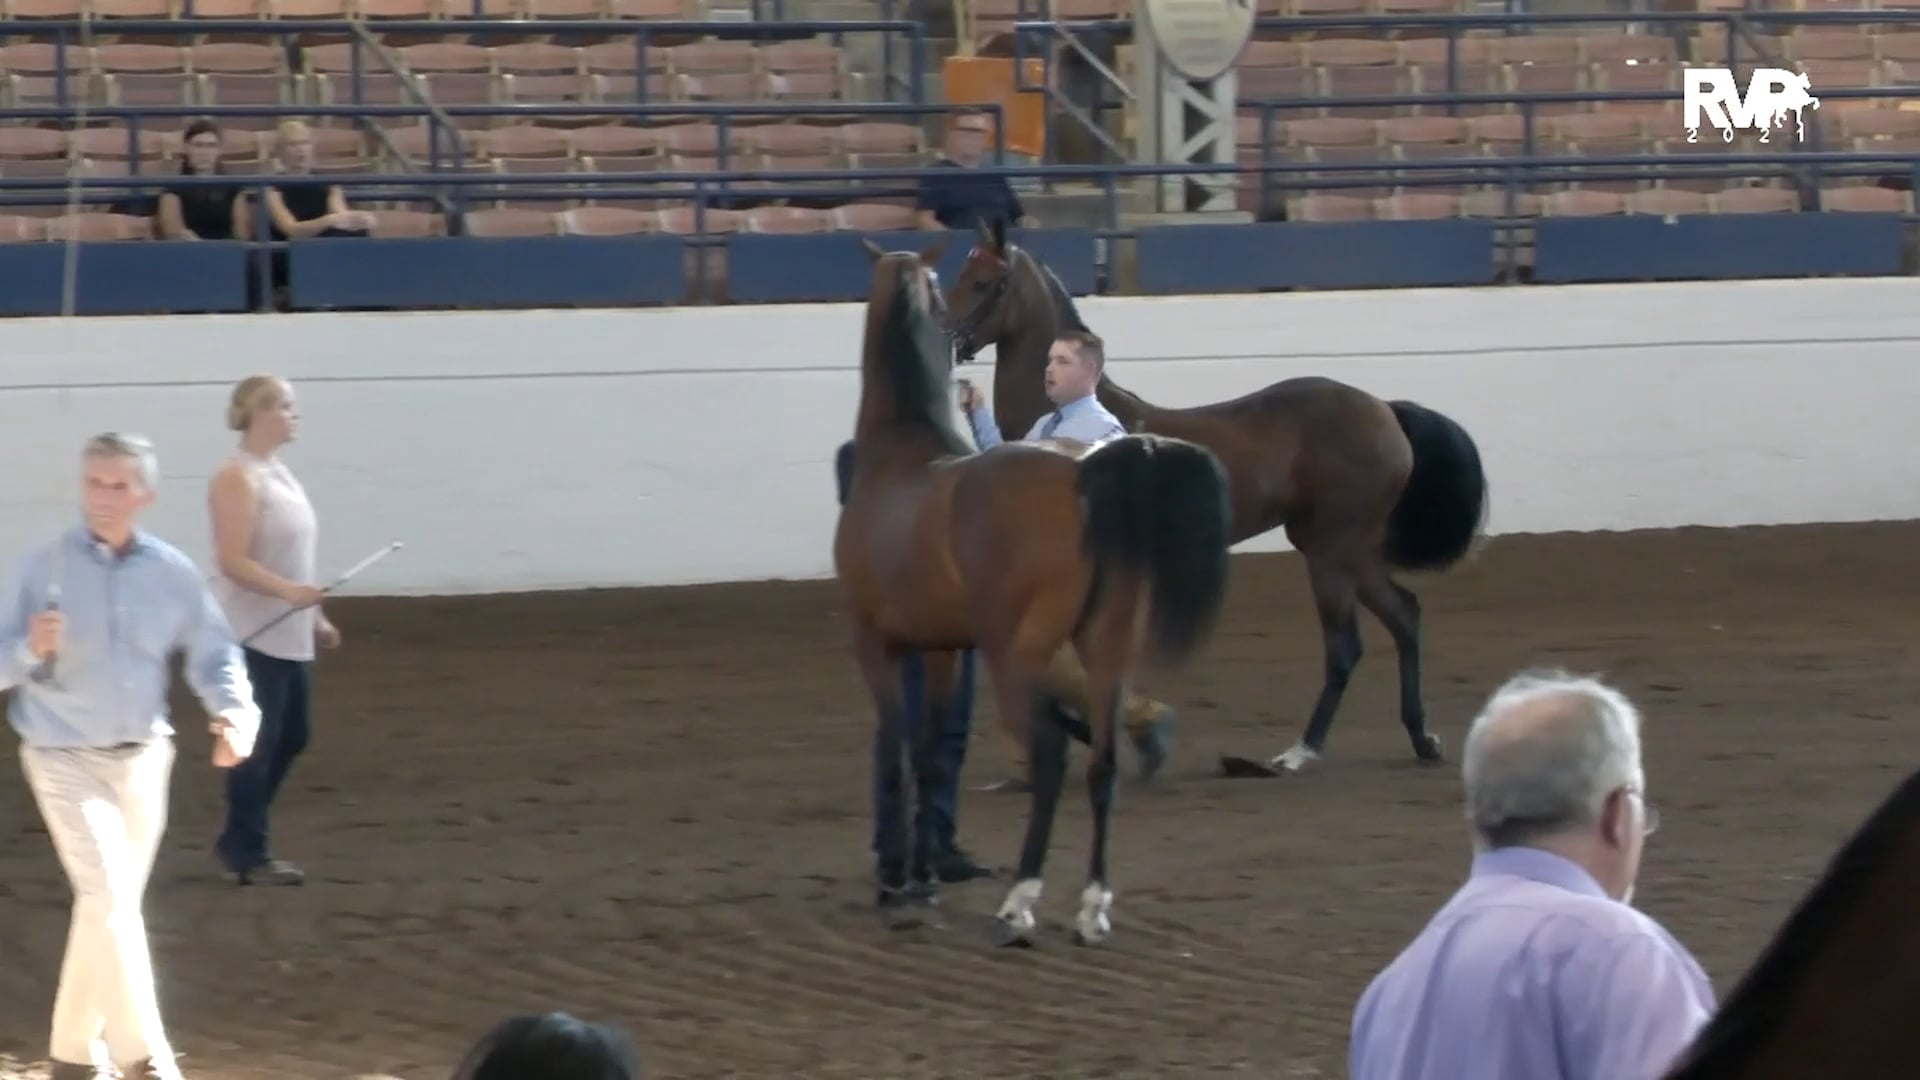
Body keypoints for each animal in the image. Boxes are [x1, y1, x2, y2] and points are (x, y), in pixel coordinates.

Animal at [832, 237, 1235, 947]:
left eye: (978, 282)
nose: (959, 340)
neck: (897, 453)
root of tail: (1086, 473)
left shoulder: (876, 645)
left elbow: (900, 754)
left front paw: (898, 882)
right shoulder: (942, 651)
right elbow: (933, 757)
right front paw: (926, 874)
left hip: (1016, 657)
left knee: (1051, 759)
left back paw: (1018, 904)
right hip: (1104, 649)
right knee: (1103, 762)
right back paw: (1092, 906)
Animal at [942, 217, 1490, 777]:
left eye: (985, 283)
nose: (945, 336)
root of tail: (1384, 410)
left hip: (1335, 552)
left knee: (1347, 646)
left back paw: (1300, 752)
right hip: (1337, 548)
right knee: (1405, 616)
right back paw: (1421, 738)